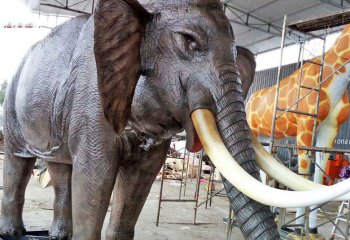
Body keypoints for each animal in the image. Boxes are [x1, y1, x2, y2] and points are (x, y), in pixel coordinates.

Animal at [0, 0, 284, 240]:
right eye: (188, 40)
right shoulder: (91, 96)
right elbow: (95, 175)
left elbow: (141, 176)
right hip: (11, 106)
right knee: (17, 163)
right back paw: (14, 232)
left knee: (59, 168)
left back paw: (58, 235)